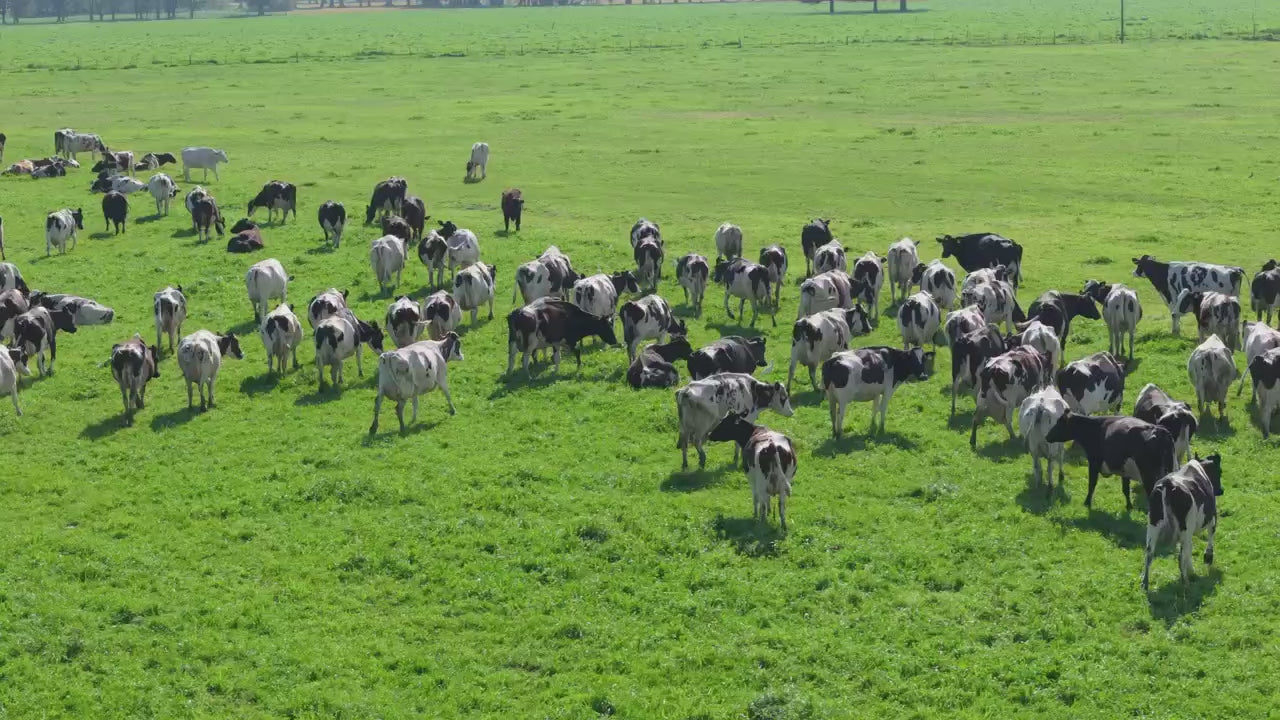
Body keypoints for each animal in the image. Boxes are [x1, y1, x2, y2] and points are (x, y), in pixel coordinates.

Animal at [1045, 413, 1176, 511]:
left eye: (1059, 423)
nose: (1047, 436)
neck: (1095, 428)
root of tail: (1158, 430)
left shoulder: (1094, 462)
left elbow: (1092, 484)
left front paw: (1087, 503)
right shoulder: (1125, 470)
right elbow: (1125, 489)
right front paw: (1129, 506)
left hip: (1148, 476)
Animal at [1141, 454, 1224, 591]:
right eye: (1220, 471)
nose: (1221, 490)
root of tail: (1167, 485)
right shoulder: (1212, 517)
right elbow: (1210, 538)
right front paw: (1207, 558)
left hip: (1153, 525)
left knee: (1149, 553)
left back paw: (1145, 584)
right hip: (1185, 529)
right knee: (1181, 556)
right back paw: (1185, 582)